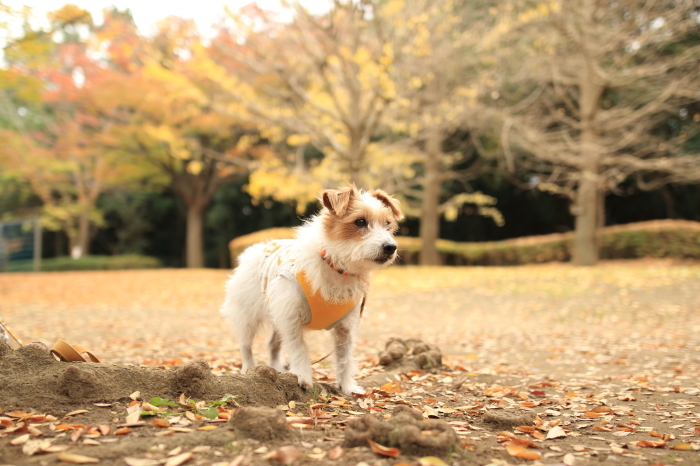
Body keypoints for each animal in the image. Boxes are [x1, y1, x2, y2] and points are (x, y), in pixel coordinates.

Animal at [219, 185, 404, 394]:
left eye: (387, 224)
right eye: (360, 221)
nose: (391, 247)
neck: (336, 267)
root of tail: (257, 248)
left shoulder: (345, 328)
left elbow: (345, 358)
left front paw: (347, 387)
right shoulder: (290, 318)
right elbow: (299, 349)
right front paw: (303, 377)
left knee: (273, 345)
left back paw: (277, 369)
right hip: (248, 315)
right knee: (246, 344)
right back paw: (249, 368)